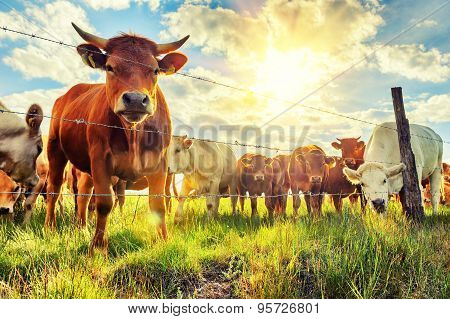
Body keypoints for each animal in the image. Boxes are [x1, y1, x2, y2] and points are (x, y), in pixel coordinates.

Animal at [44, 23, 188, 255]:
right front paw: (98, 247)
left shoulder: (160, 164)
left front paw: (163, 240)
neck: (133, 133)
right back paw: (50, 227)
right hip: (55, 150)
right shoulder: (100, 160)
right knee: (54, 189)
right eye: (110, 67)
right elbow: (104, 204)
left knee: (84, 193)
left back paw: (81, 228)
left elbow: (158, 204)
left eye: (155, 70)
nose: (136, 99)